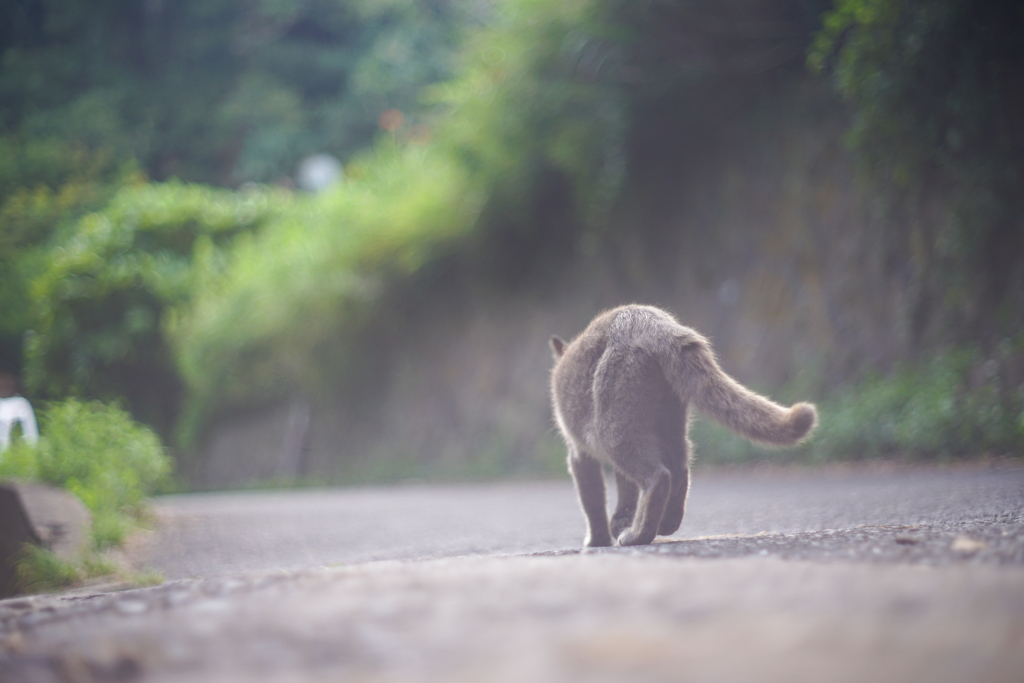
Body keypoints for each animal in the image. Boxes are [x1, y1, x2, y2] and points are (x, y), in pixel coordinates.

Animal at [552, 303, 815, 544]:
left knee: (658, 475)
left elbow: (592, 498)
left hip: (614, 430)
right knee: (679, 470)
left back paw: (637, 535)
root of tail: (654, 323)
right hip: (670, 422)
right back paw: (665, 524)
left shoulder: (577, 452)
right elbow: (625, 491)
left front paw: (597, 540)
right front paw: (619, 523)